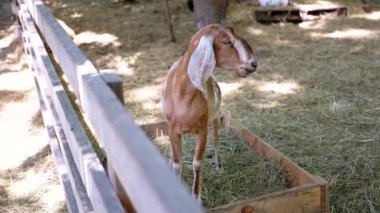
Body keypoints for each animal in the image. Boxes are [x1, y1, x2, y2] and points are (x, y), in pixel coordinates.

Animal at [162, 24, 256, 201]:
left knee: (216, 141)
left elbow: (198, 163)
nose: (253, 63)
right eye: (226, 41)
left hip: (214, 120)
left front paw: (196, 198)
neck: (183, 94)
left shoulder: (202, 129)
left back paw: (219, 167)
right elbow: (177, 163)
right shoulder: (172, 129)